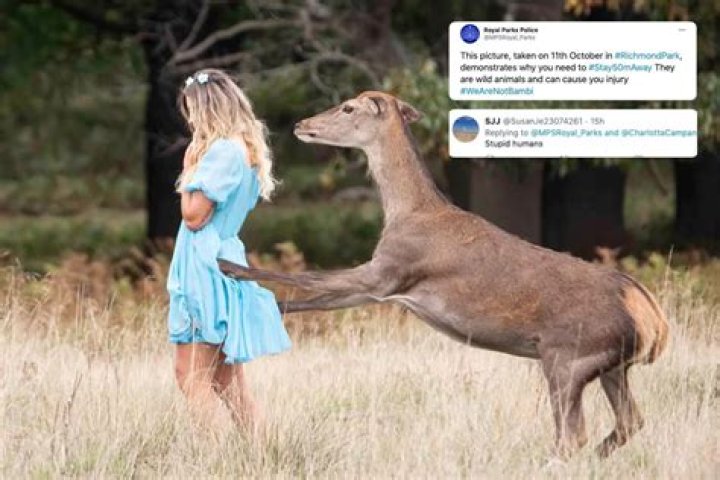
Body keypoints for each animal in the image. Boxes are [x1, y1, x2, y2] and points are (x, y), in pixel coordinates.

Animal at [218, 91, 669, 457]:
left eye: (348, 107)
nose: (301, 124)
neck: (407, 212)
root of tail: (654, 320)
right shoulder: (381, 285)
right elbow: (312, 299)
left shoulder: (389, 269)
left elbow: (310, 277)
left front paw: (230, 268)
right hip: (610, 366)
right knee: (629, 422)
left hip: (567, 355)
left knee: (572, 435)